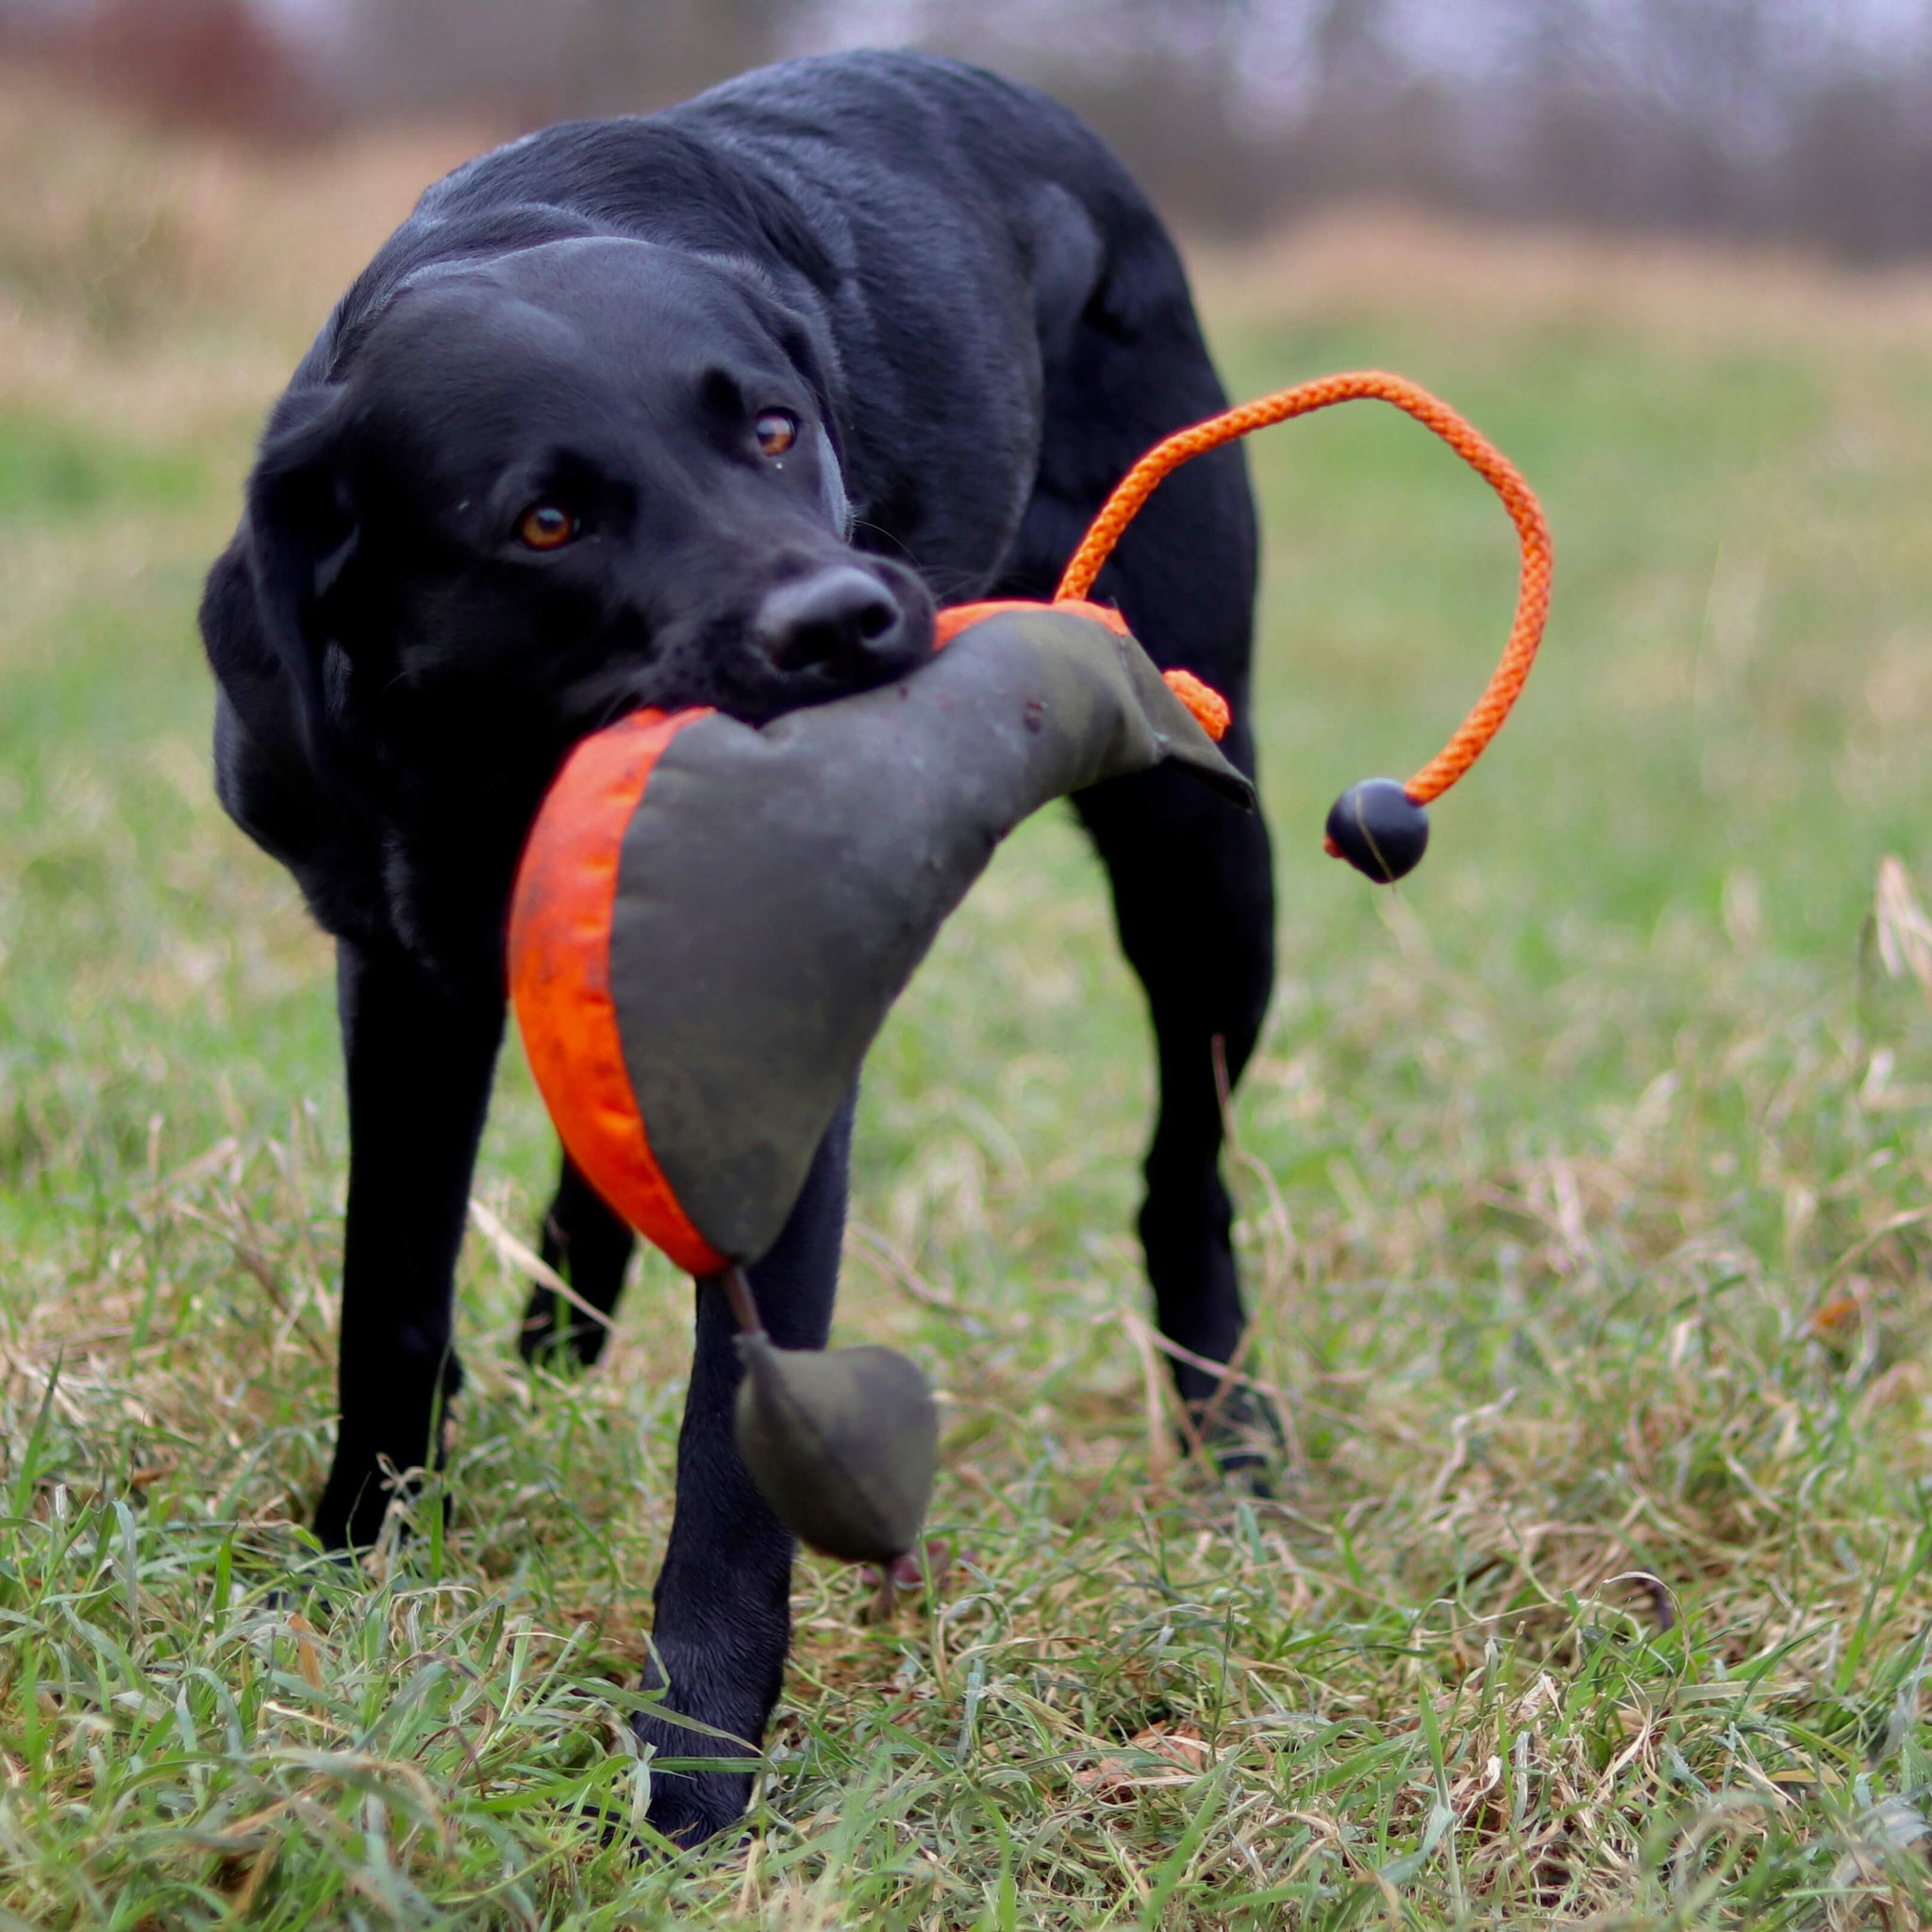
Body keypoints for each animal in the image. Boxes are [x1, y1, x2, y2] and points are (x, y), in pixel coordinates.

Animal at [199, 48, 1267, 1839]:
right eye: (546, 521)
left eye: (775, 430)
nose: (849, 620)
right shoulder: (398, 969)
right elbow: (389, 1289)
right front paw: (355, 1559)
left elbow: (730, 1457)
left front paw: (695, 1768)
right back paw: (561, 1344)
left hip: (1205, 867)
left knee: (1183, 1168)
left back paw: (1232, 1442)